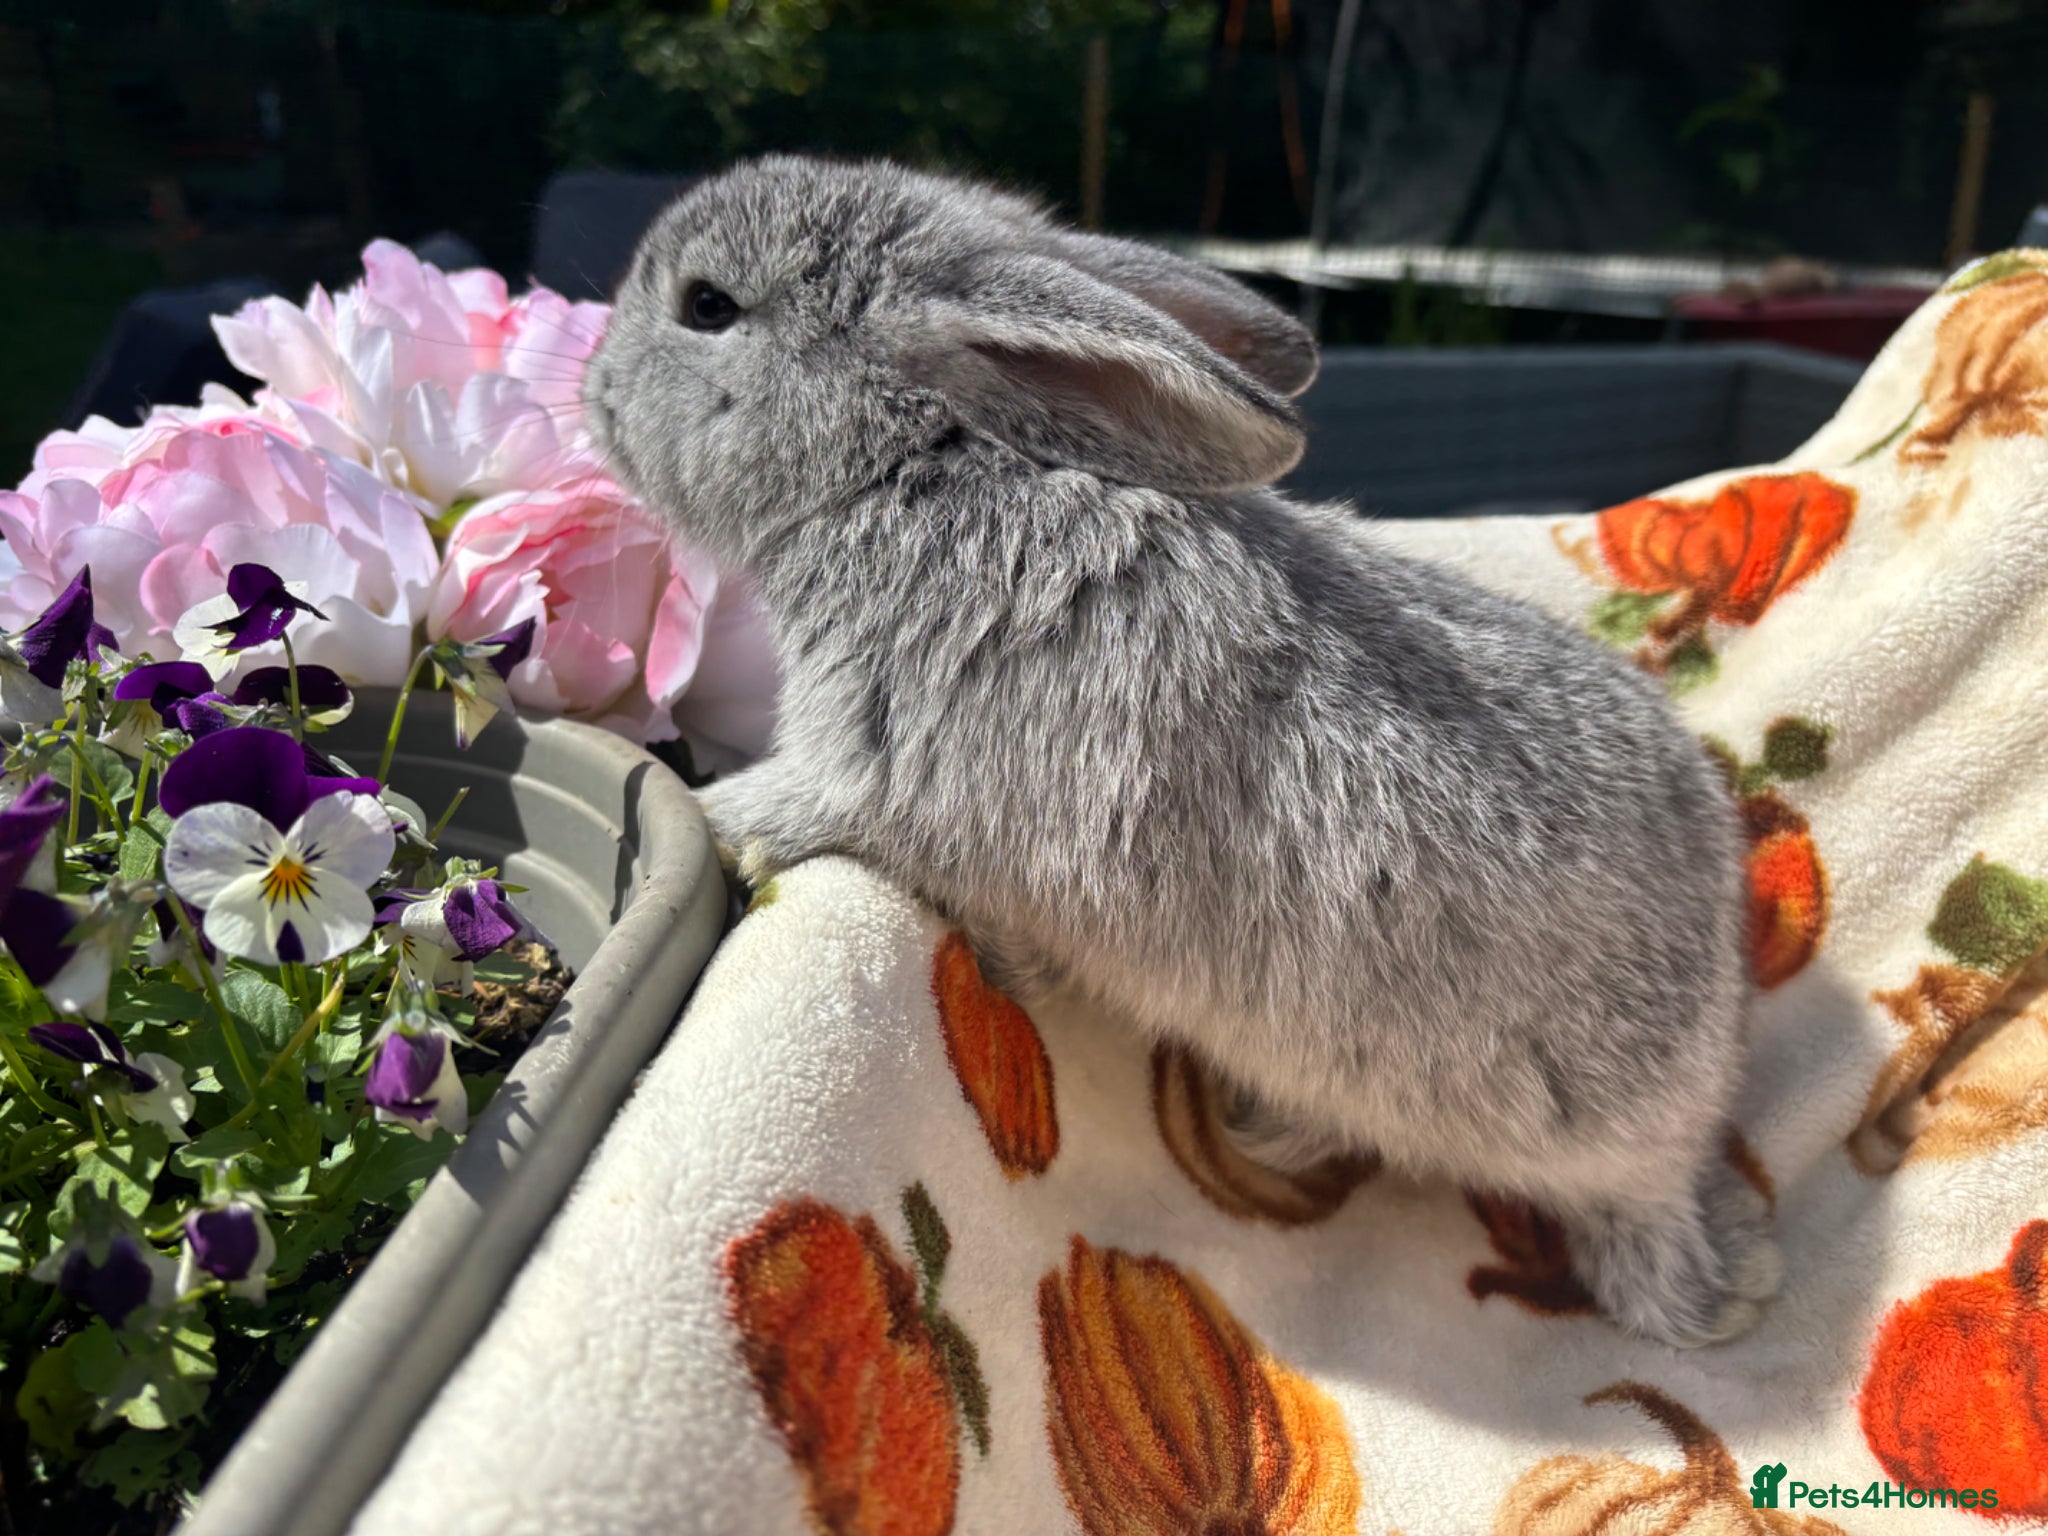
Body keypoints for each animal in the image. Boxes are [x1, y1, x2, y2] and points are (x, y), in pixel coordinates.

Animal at [583, 156, 1780, 1349]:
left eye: (706, 305)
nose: (592, 390)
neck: (933, 465)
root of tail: (1697, 1098)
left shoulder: (874, 769)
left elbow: (800, 810)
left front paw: (713, 817)